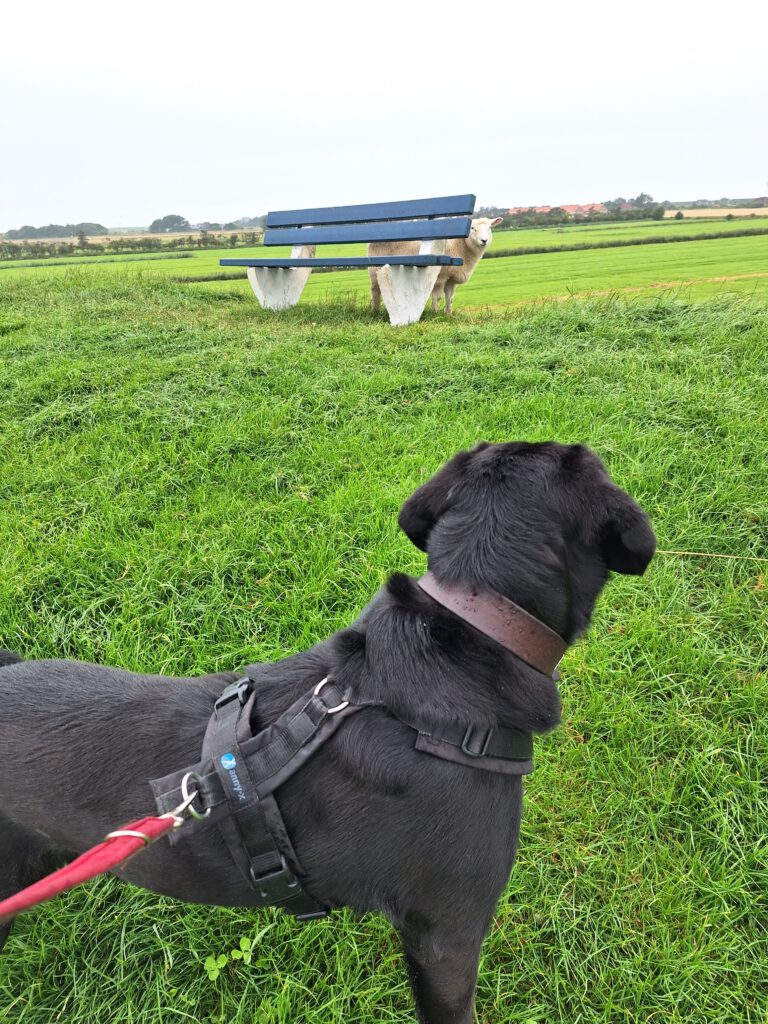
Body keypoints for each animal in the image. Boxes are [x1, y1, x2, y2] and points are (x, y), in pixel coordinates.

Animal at [366, 214, 505, 313]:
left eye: (489, 228)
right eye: (472, 228)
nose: (484, 240)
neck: (460, 245)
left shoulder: (451, 279)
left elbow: (450, 298)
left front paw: (448, 315)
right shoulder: (440, 277)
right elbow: (437, 297)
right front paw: (435, 313)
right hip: (374, 268)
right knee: (375, 290)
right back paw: (375, 310)